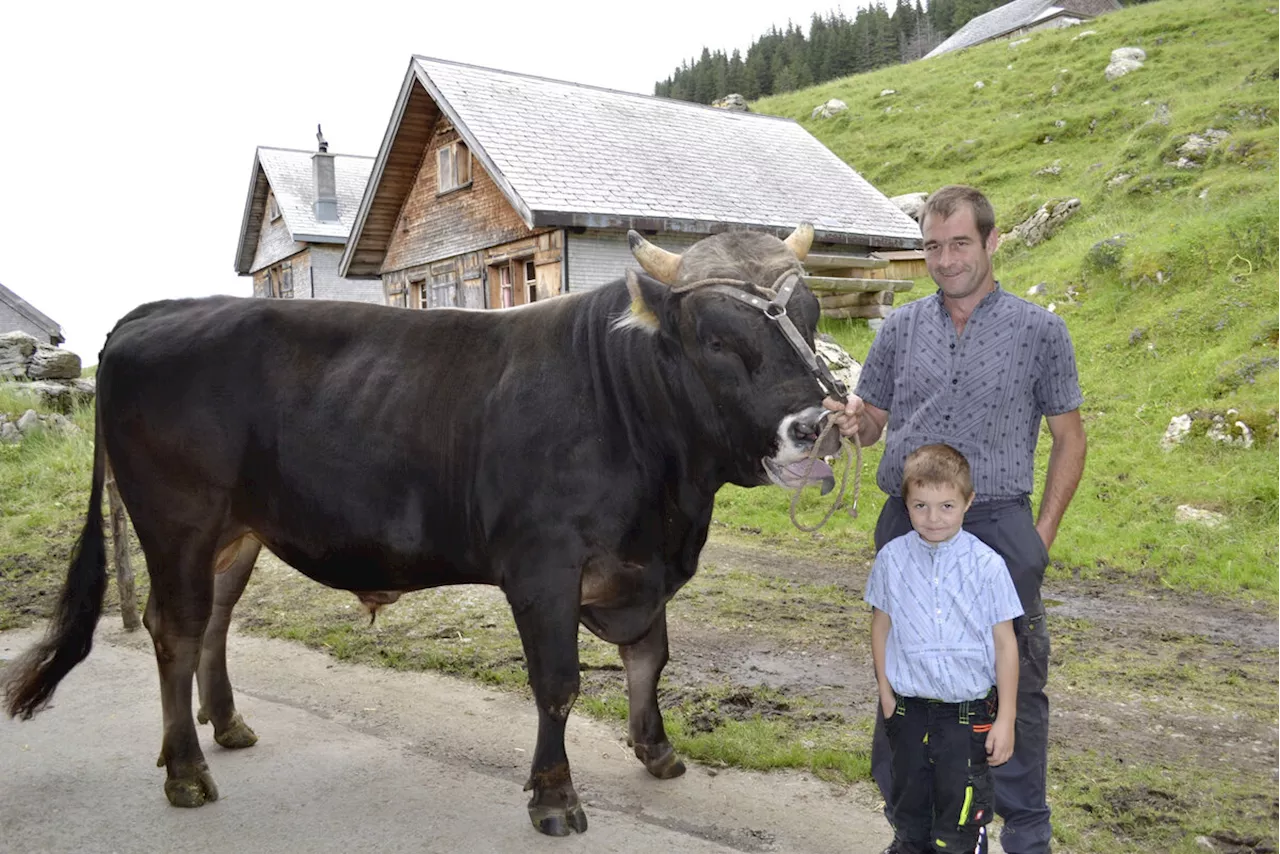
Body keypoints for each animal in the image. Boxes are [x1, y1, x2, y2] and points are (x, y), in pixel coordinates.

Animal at [7, 224, 839, 839]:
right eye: (717, 340)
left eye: (810, 318)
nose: (817, 426)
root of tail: (157, 311)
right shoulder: (543, 566)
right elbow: (559, 684)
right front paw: (554, 797)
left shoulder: (641, 564)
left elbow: (650, 658)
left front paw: (657, 751)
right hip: (177, 520)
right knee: (174, 629)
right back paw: (186, 770)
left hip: (236, 532)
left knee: (213, 620)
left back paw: (230, 726)